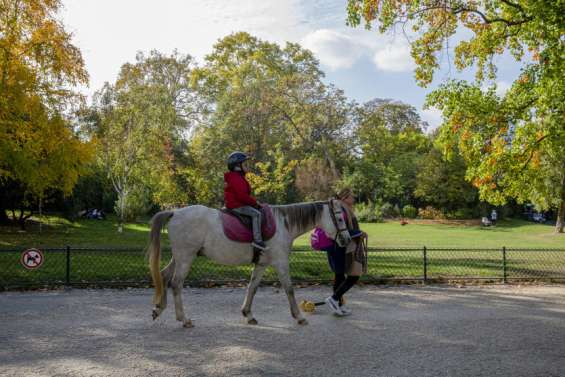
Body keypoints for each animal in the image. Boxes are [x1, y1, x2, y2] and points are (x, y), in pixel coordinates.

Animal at [147, 200, 348, 326]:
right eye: (339, 218)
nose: (346, 239)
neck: (283, 223)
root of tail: (174, 212)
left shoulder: (262, 264)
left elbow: (252, 287)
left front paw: (248, 314)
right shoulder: (280, 262)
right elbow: (289, 289)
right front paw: (299, 317)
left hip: (179, 257)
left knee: (164, 276)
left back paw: (158, 309)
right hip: (186, 257)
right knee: (176, 284)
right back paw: (183, 319)